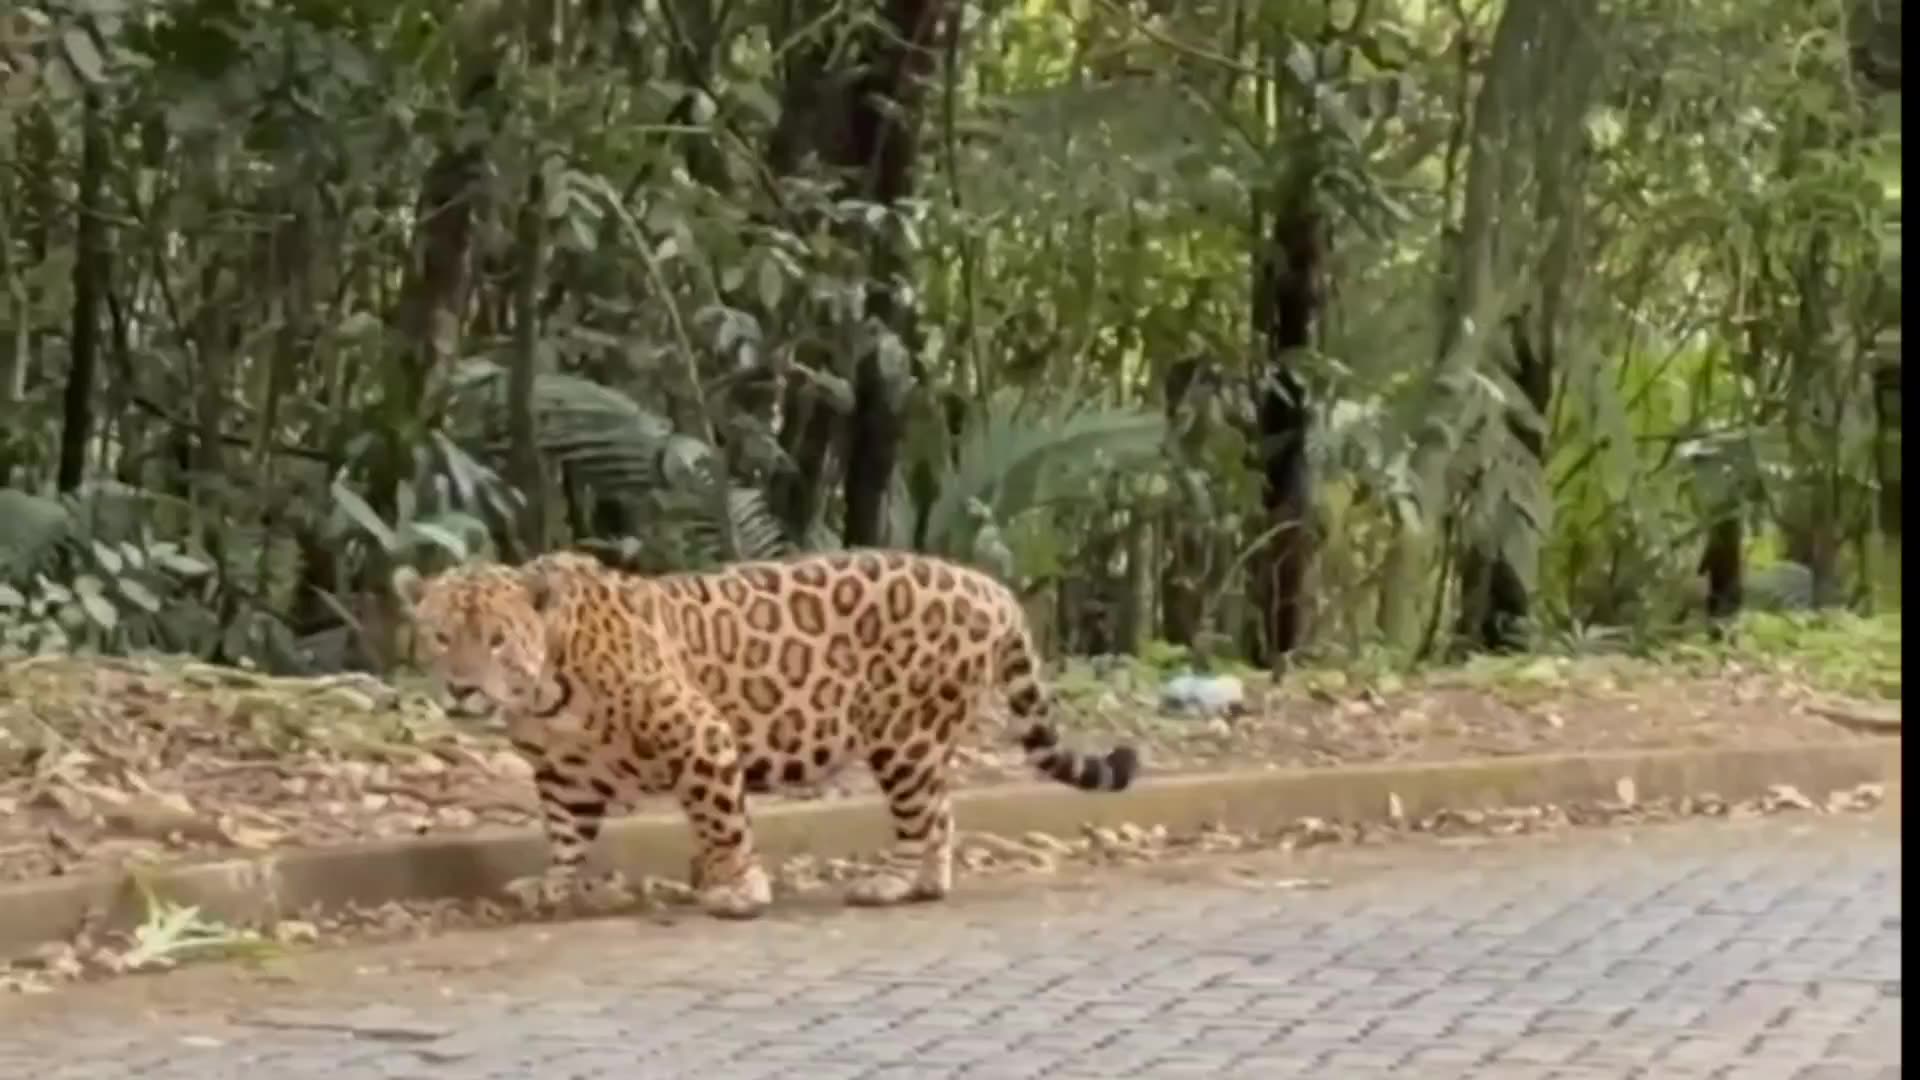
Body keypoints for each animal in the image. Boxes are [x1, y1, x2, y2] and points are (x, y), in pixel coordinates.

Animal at [392, 548, 1139, 920]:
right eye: (441, 637)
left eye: (496, 640)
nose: (462, 688)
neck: (547, 686)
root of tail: (995, 590)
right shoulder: (563, 774)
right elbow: (567, 836)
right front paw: (553, 886)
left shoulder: (702, 735)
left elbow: (723, 822)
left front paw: (738, 890)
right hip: (926, 736)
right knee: (941, 811)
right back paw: (928, 883)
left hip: (902, 734)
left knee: (918, 813)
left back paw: (891, 883)